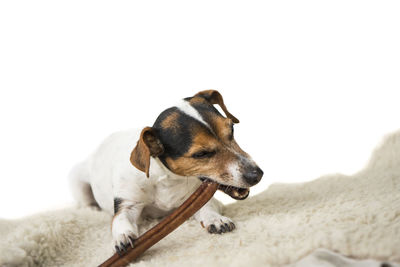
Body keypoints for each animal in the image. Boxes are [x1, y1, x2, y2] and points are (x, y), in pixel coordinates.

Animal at [69, 90, 262, 253]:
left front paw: (216, 219)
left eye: (232, 130)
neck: (167, 179)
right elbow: (120, 221)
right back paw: (91, 209)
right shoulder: (127, 204)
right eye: (201, 154)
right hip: (77, 178)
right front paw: (123, 237)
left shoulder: (198, 198)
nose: (257, 174)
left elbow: (207, 208)